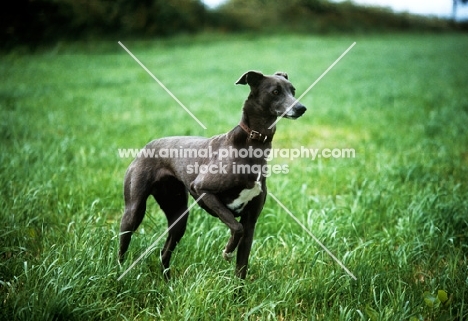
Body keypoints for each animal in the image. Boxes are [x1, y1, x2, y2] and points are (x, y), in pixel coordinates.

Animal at [119, 69, 306, 278]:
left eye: (293, 90)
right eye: (275, 91)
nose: (301, 108)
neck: (250, 145)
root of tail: (146, 146)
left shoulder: (251, 221)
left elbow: (242, 264)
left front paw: (238, 286)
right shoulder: (202, 189)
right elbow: (236, 227)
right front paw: (227, 250)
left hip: (178, 214)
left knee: (164, 253)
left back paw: (167, 282)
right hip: (134, 210)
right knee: (123, 245)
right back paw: (119, 274)